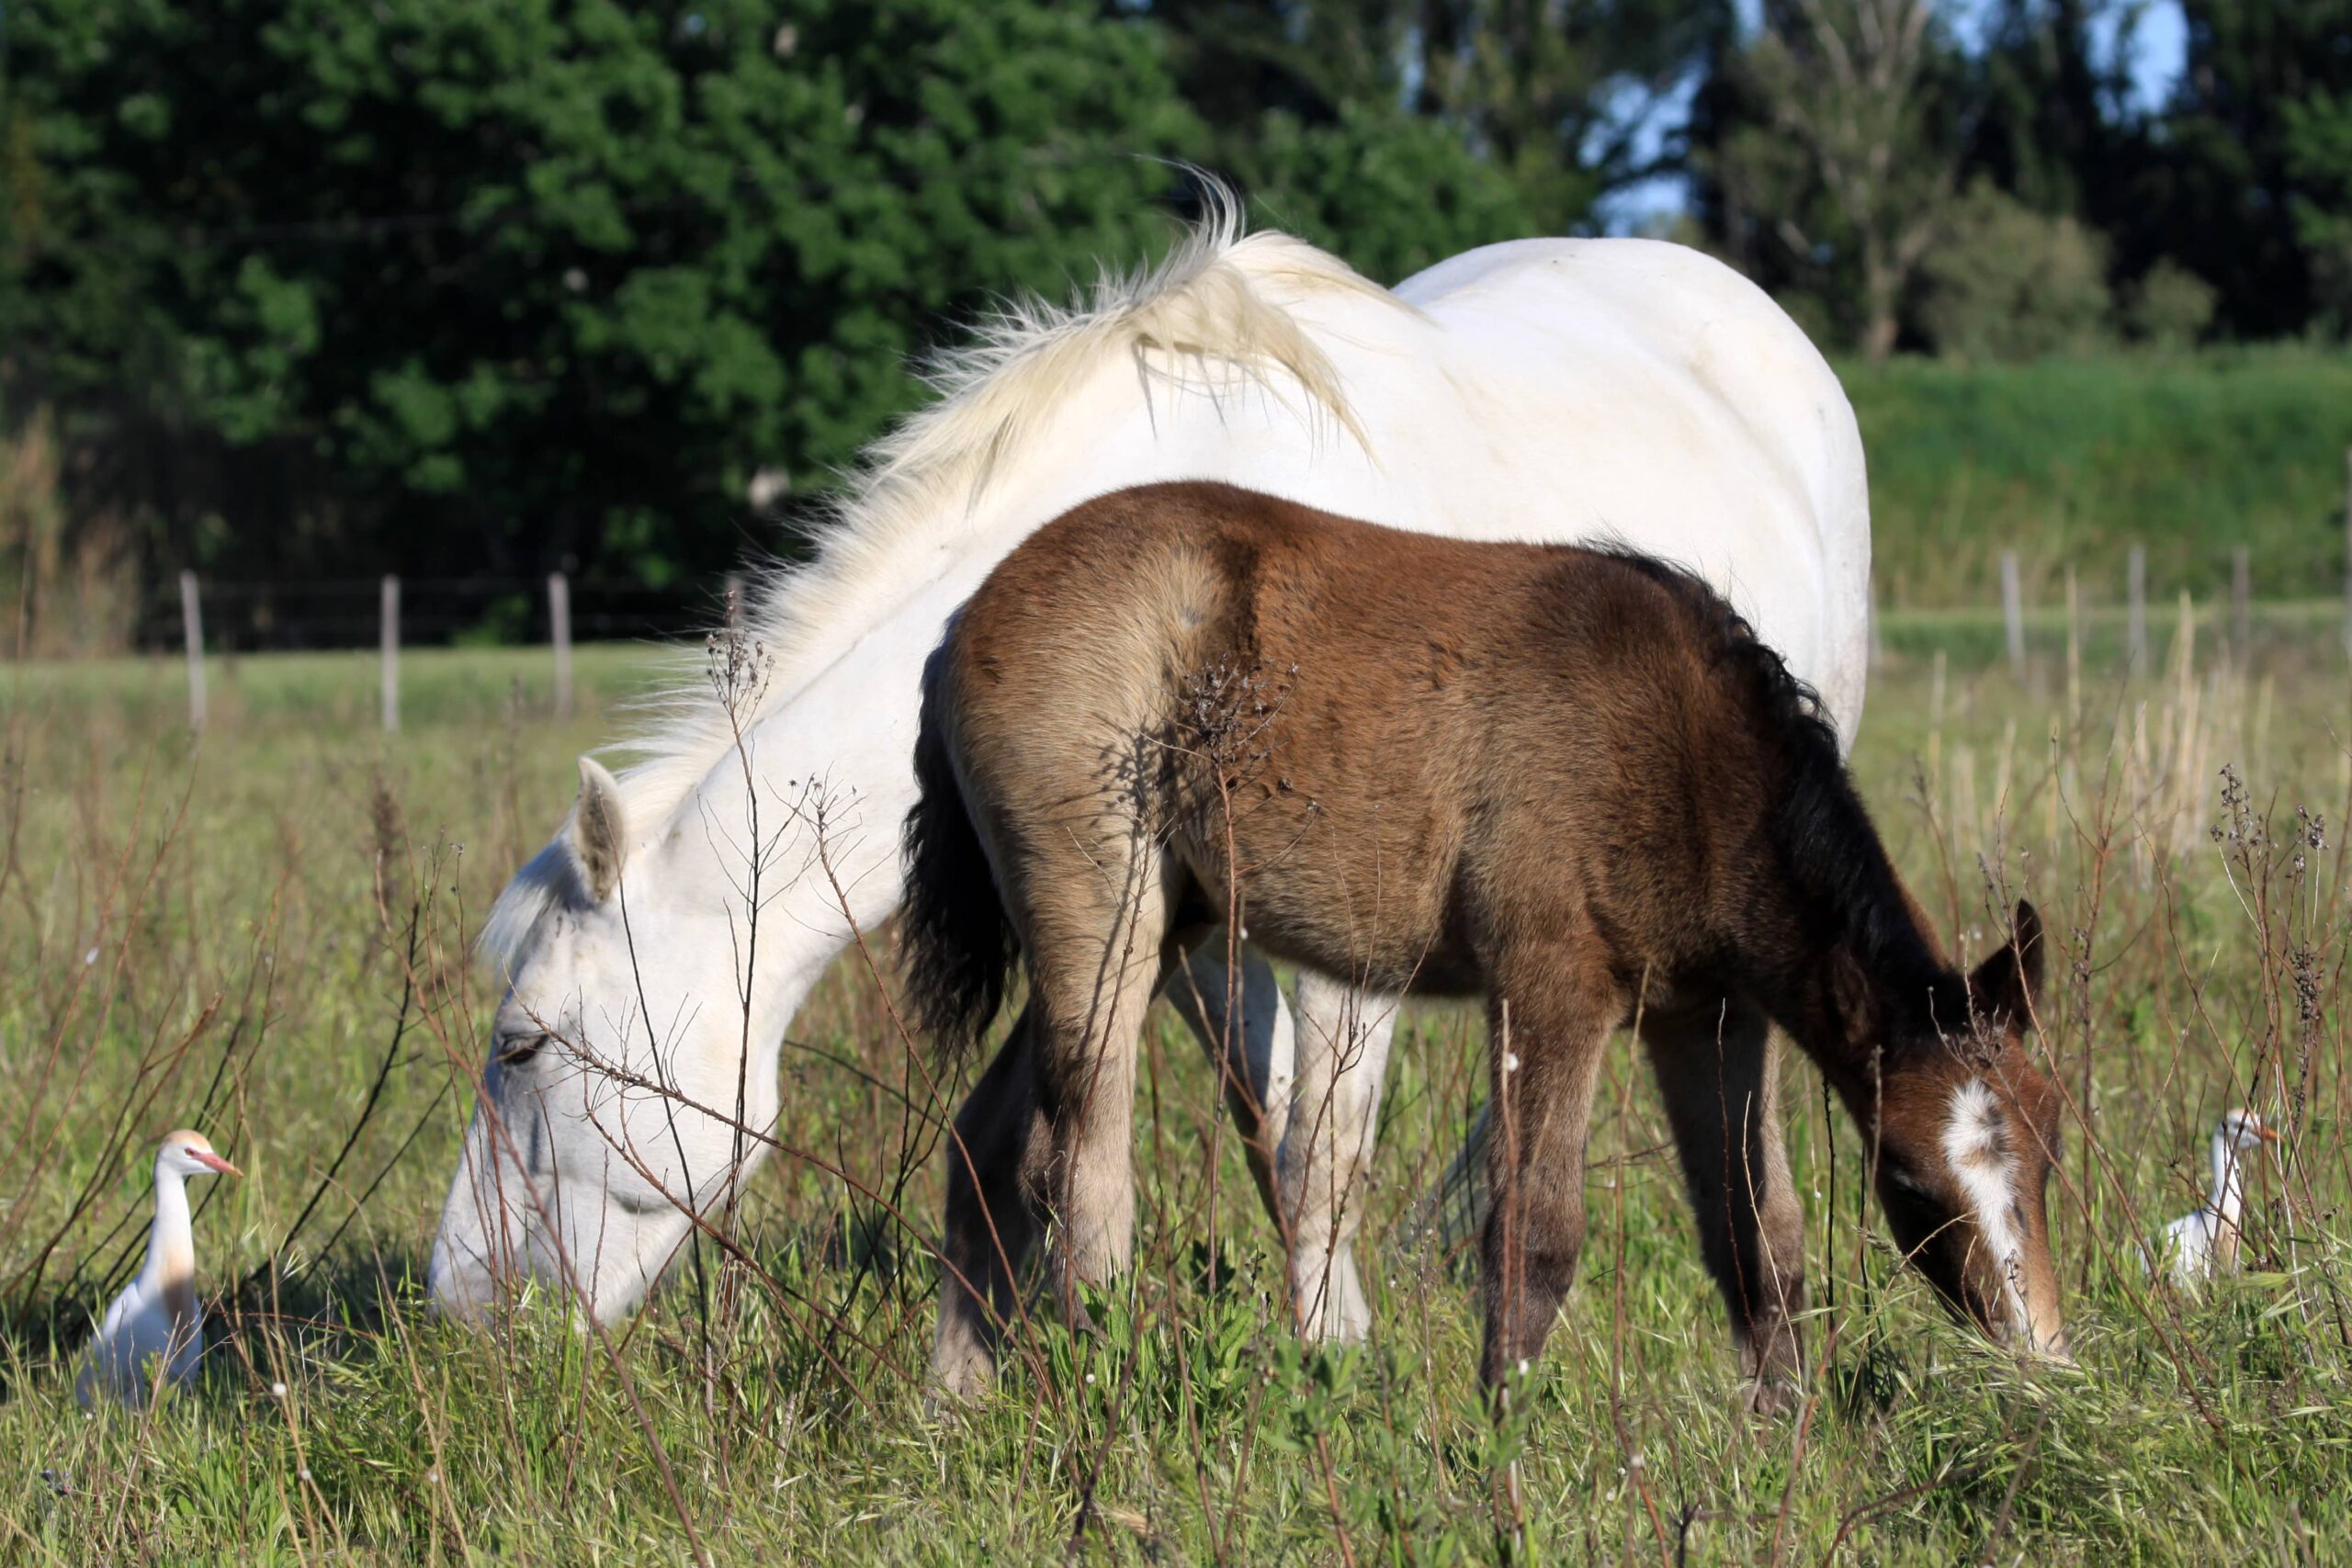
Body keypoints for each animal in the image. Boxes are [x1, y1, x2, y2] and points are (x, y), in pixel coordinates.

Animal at [433, 199, 1871, 1354]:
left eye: (522, 1043)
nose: (460, 1304)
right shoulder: (1176, 922)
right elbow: (1263, 1112)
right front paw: (1322, 1335)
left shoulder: (1355, 932)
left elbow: (1325, 1138)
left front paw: (1328, 1360)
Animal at [898, 479, 2060, 1401]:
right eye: (1906, 1181)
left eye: (2051, 1155)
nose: (2041, 1359)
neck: (1688, 756)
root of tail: (958, 624)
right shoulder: (1549, 990)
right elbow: (1535, 1237)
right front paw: (1503, 1448)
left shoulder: (1708, 1015)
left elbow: (1758, 1235)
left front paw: (1788, 1444)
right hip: (1099, 913)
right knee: (1078, 1171)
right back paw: (1104, 1398)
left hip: (1158, 925)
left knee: (986, 1141)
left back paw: (956, 1405)